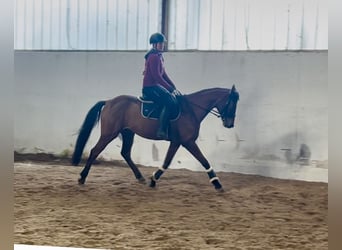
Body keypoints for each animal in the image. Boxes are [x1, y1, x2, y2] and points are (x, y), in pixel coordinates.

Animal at [71, 84, 239, 191]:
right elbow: (204, 161)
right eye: (232, 103)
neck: (191, 110)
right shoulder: (188, 142)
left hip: (128, 133)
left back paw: (140, 177)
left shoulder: (176, 142)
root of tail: (109, 101)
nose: (230, 124)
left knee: (125, 153)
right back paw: (82, 178)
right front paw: (217, 183)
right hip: (109, 134)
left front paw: (153, 180)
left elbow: (166, 162)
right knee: (95, 151)